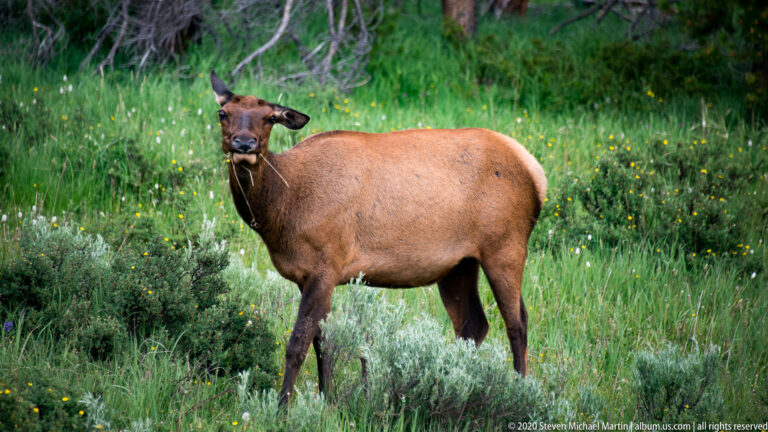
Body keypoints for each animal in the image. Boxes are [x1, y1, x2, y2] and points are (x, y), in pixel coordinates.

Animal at [209, 71, 547, 405]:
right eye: (223, 113)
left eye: (269, 118)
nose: (244, 143)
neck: (284, 210)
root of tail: (537, 174)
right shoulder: (310, 277)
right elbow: (323, 345)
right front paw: (326, 400)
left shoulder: (326, 266)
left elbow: (297, 346)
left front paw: (283, 407)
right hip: (459, 264)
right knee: (473, 325)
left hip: (505, 247)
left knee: (517, 324)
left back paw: (519, 393)